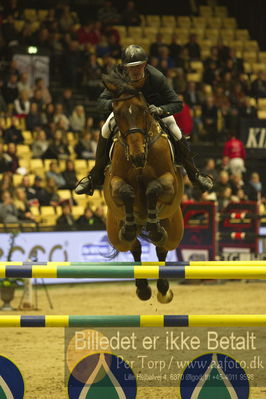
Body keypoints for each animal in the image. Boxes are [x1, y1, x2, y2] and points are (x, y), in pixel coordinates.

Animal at [102, 71, 185, 304]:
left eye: (144, 111)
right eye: (117, 113)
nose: (137, 156)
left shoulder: (170, 182)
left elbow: (153, 189)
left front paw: (154, 226)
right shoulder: (113, 182)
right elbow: (125, 191)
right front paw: (130, 225)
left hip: (174, 230)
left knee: (162, 249)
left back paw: (164, 289)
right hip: (115, 234)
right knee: (135, 248)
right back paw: (143, 288)